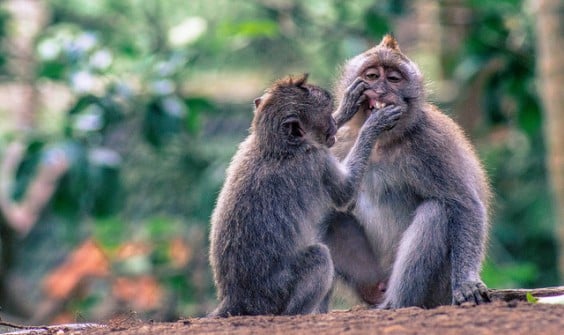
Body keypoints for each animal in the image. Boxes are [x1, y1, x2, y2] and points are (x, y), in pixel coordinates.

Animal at [209, 73, 404, 318]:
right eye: (325, 119)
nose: (333, 126)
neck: (276, 146)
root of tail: (235, 299)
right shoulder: (316, 160)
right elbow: (345, 194)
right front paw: (373, 126)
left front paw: (346, 107)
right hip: (273, 296)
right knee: (319, 258)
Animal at [324, 35, 492, 312]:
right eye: (372, 76)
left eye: (394, 79)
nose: (380, 91)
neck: (383, 143)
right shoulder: (341, 142)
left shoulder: (432, 142)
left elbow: (464, 205)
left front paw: (467, 283)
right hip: (370, 279)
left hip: (436, 290)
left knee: (435, 212)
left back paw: (396, 303)